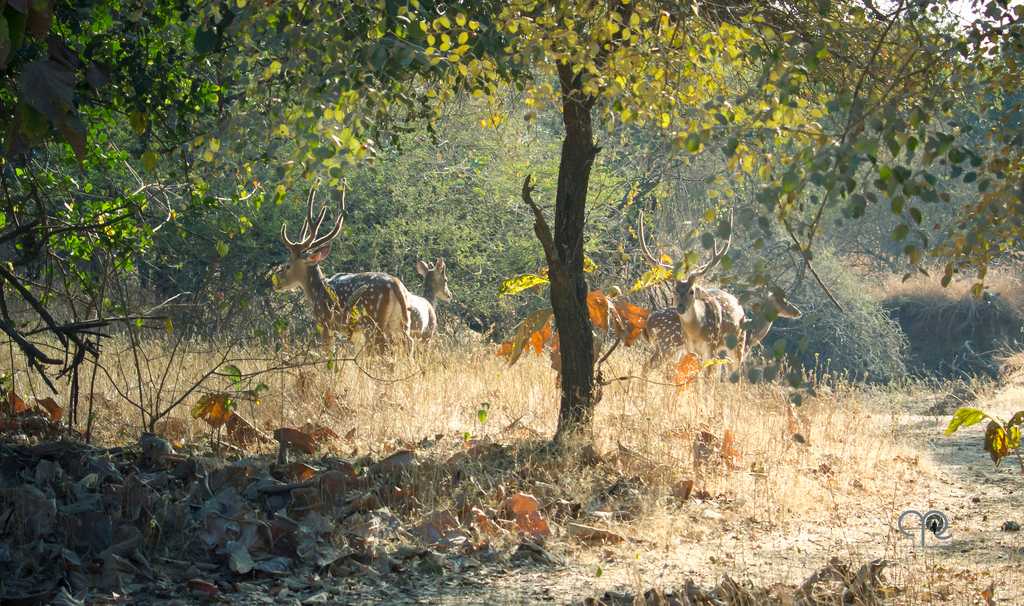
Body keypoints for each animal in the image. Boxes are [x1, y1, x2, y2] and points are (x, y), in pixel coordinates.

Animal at [276, 183, 415, 354]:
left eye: (288, 265)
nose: (276, 282)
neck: (317, 291)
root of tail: (396, 285)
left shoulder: (326, 321)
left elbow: (327, 351)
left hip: (375, 319)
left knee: (382, 346)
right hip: (400, 321)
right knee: (408, 342)